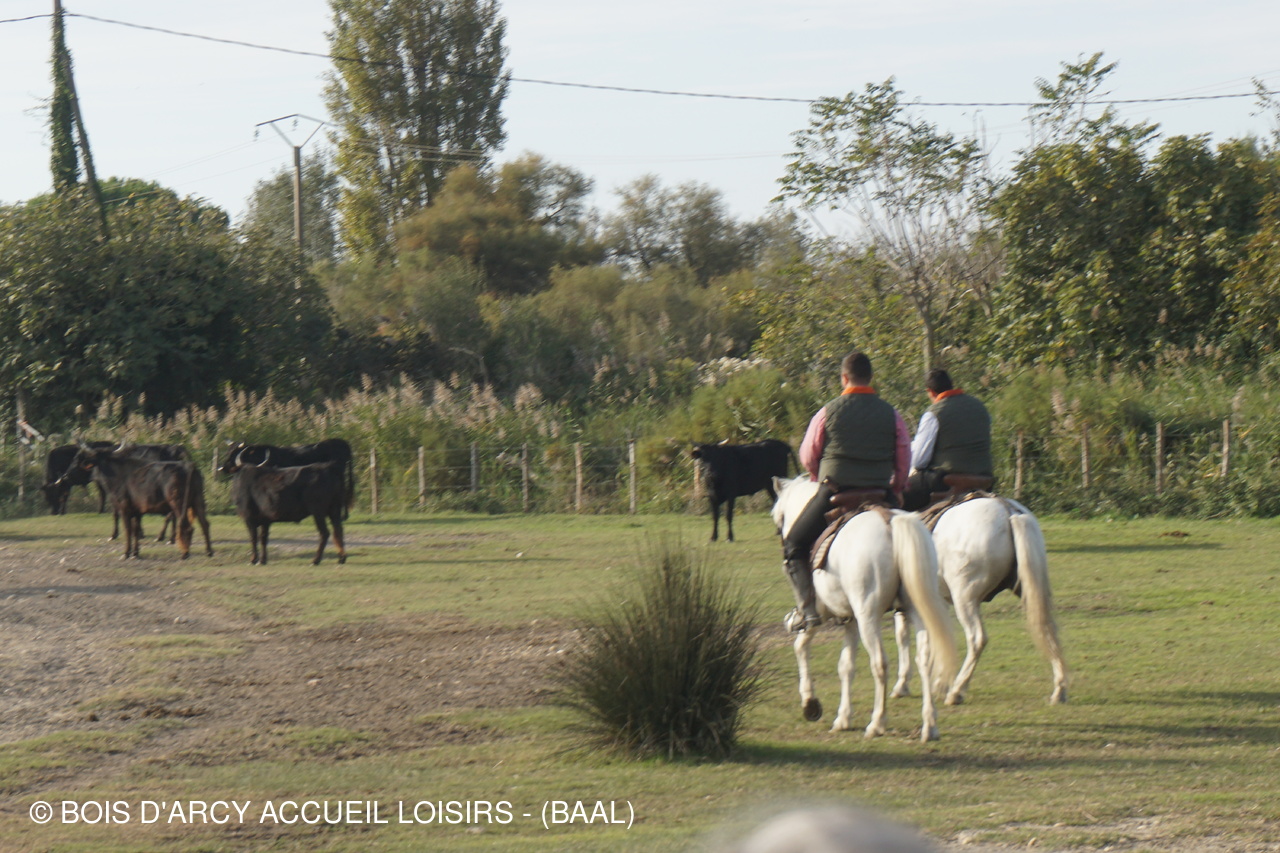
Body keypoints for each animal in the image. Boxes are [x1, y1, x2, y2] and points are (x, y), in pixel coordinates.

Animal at [60, 445, 213, 560]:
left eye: (78, 459)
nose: (65, 476)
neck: (117, 473)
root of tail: (187, 466)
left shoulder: (123, 507)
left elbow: (127, 529)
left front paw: (126, 553)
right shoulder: (137, 511)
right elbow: (135, 530)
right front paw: (135, 553)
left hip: (178, 504)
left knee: (186, 526)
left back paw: (184, 552)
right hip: (198, 501)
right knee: (204, 524)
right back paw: (208, 551)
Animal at [771, 476, 959, 742]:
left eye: (778, 517)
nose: (781, 534)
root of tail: (891, 521)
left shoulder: (820, 615)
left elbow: (801, 647)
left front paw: (810, 703)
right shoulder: (849, 619)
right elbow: (846, 666)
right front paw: (843, 718)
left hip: (868, 616)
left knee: (879, 663)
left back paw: (877, 723)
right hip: (917, 609)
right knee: (925, 660)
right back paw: (929, 725)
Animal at [891, 495, 1067, 706]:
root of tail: (1009, 510)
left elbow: (903, 637)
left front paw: (903, 685)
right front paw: (939, 682)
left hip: (965, 598)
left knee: (977, 639)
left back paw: (957, 691)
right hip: (1030, 590)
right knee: (1048, 628)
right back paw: (1059, 689)